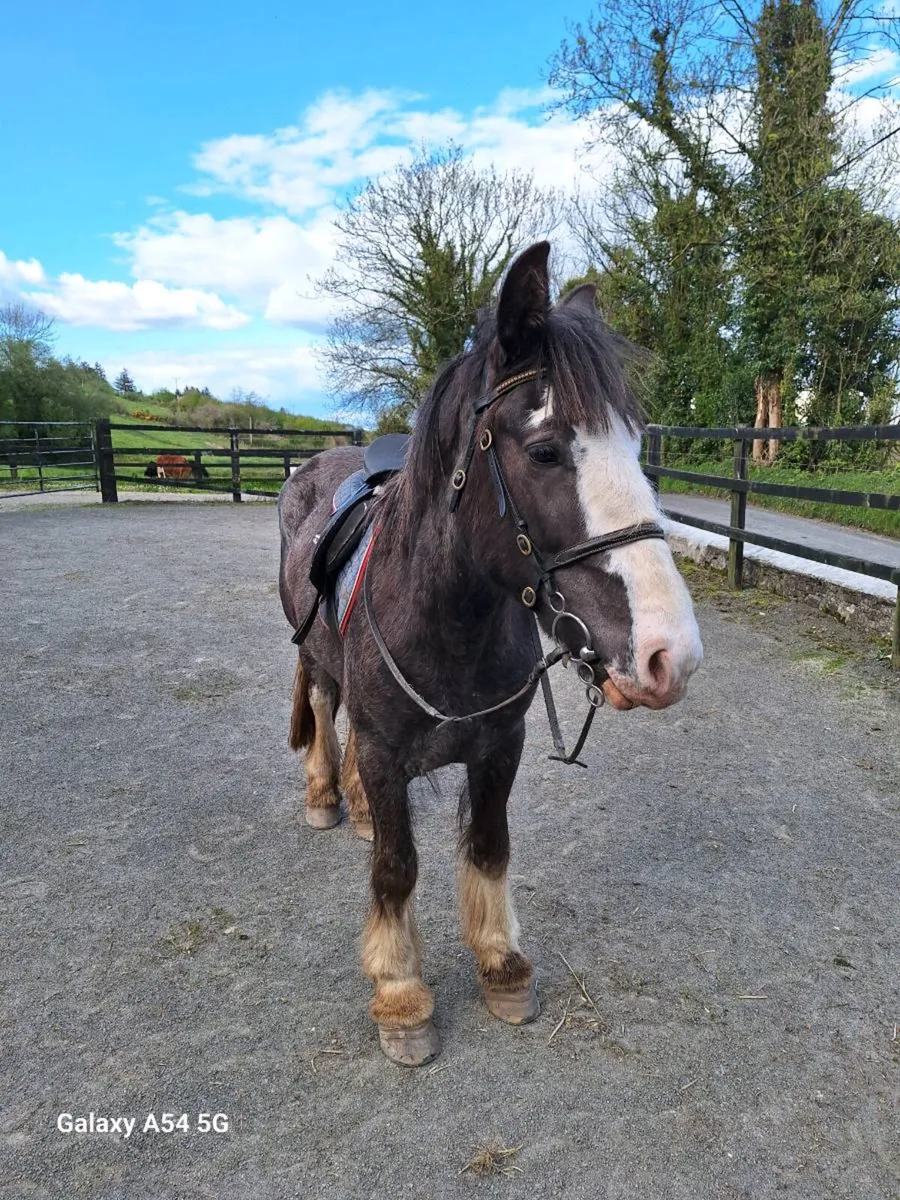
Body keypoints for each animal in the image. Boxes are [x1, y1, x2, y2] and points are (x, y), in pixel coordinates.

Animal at [278, 242, 703, 1066]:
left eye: (637, 445)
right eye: (543, 450)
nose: (670, 654)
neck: (448, 623)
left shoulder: (501, 745)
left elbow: (489, 847)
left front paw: (501, 964)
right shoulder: (387, 752)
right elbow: (398, 869)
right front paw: (402, 994)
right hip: (316, 659)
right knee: (323, 706)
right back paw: (325, 796)